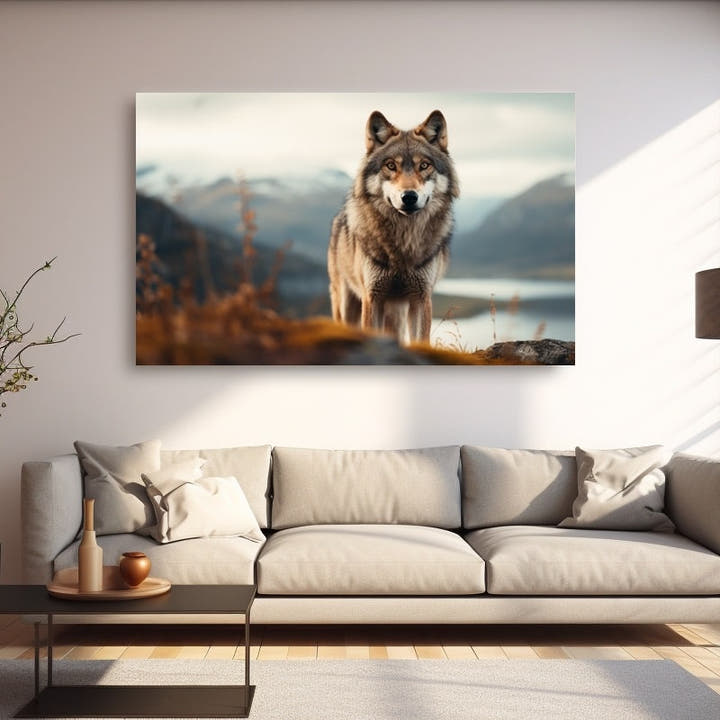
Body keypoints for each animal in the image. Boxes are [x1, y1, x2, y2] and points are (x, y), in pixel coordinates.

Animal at [328, 109, 459, 345]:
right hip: (346, 304)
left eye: (424, 165)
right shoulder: (373, 298)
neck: (403, 242)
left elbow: (420, 339)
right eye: (391, 165)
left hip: (396, 312)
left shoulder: (421, 298)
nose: (409, 197)